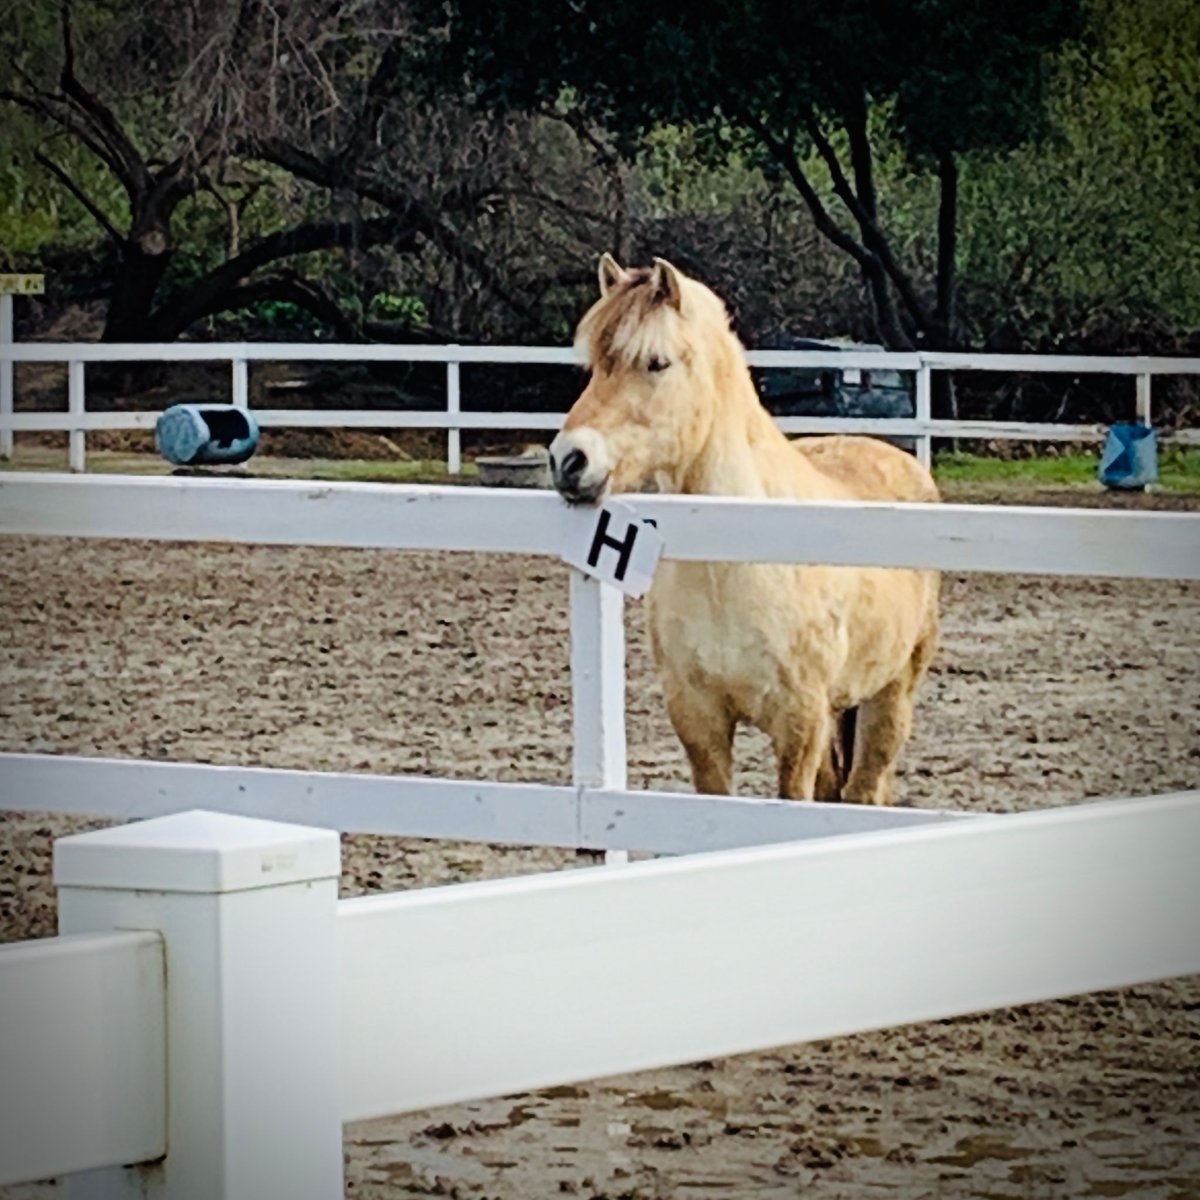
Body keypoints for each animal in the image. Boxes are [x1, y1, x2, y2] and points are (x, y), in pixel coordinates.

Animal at [549, 254, 940, 805]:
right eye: (591, 366)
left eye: (656, 363)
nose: (569, 460)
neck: (734, 566)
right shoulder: (699, 718)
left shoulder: (800, 724)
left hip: (890, 698)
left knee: (866, 789)